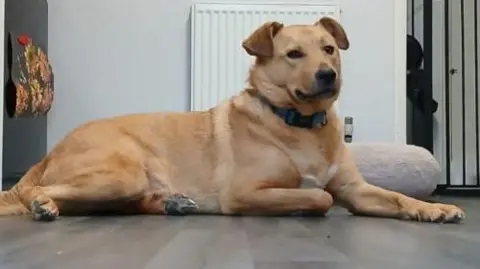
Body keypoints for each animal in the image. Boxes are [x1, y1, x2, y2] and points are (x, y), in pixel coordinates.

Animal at [0, 16, 464, 222]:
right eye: (293, 54)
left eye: (329, 48)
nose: (327, 75)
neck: (299, 124)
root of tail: (50, 152)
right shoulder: (245, 193)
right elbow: (319, 196)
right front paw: (305, 206)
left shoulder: (358, 190)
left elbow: (395, 198)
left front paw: (433, 207)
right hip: (120, 172)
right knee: (40, 193)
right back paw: (41, 203)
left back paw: (171, 203)